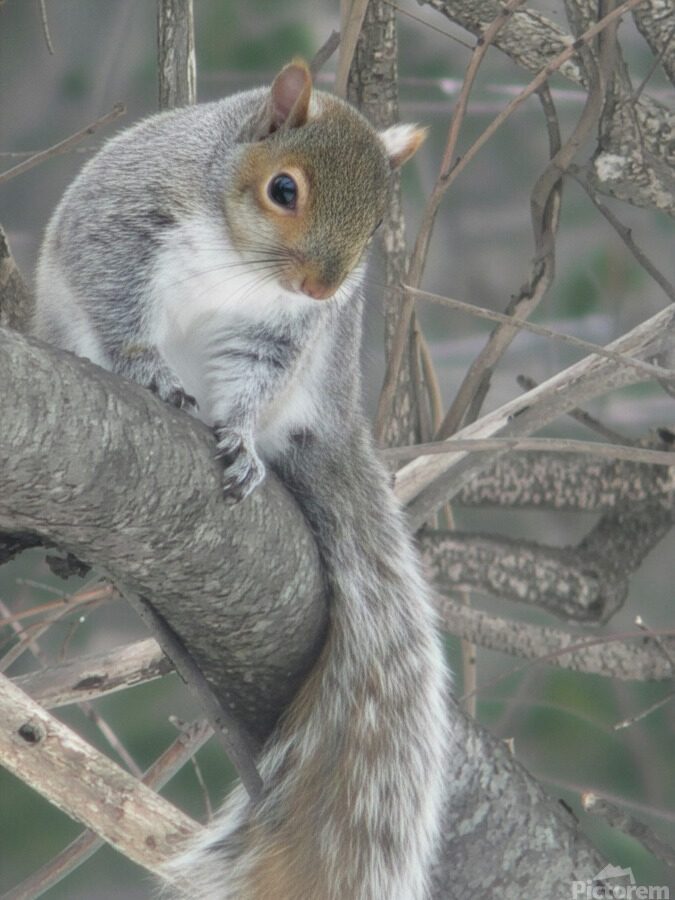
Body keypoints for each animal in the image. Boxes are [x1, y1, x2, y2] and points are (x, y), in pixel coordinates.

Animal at [34, 60, 450, 900]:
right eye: (283, 189)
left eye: (378, 223)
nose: (322, 289)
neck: (234, 252)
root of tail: (338, 420)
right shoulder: (123, 226)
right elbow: (117, 307)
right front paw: (150, 373)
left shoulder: (277, 335)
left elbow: (253, 382)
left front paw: (240, 440)